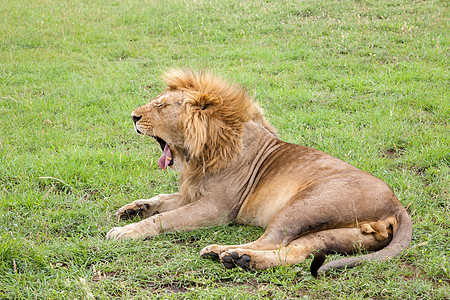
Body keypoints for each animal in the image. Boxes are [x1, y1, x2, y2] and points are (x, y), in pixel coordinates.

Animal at [106, 69, 412, 276]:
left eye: (162, 105)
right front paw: (133, 209)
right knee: (293, 251)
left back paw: (225, 252)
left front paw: (125, 231)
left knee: (271, 239)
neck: (201, 152)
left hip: (304, 204)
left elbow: (164, 219)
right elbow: (161, 200)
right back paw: (243, 259)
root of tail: (396, 205)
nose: (133, 116)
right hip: (340, 234)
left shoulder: (216, 209)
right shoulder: (193, 193)